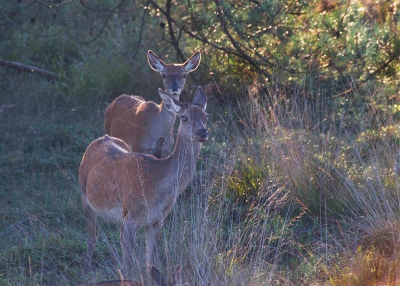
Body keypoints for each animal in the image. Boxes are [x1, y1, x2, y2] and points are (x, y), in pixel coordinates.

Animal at [78, 86, 209, 274]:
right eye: (184, 117)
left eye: (207, 116)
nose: (203, 132)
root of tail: (100, 139)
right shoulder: (131, 217)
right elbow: (128, 263)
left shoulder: (157, 220)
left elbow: (151, 261)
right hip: (84, 194)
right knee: (92, 235)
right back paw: (87, 268)